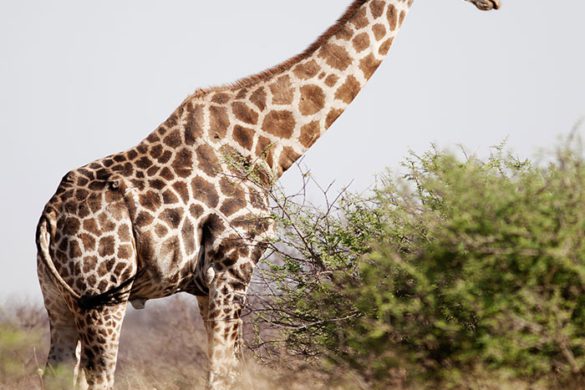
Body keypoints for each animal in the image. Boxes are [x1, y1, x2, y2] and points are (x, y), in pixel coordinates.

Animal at [36, 0, 500, 390]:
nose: (493, 3)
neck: (267, 147)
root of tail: (49, 217)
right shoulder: (234, 264)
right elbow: (224, 374)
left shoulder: (205, 285)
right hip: (102, 297)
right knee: (98, 378)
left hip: (59, 299)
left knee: (55, 373)